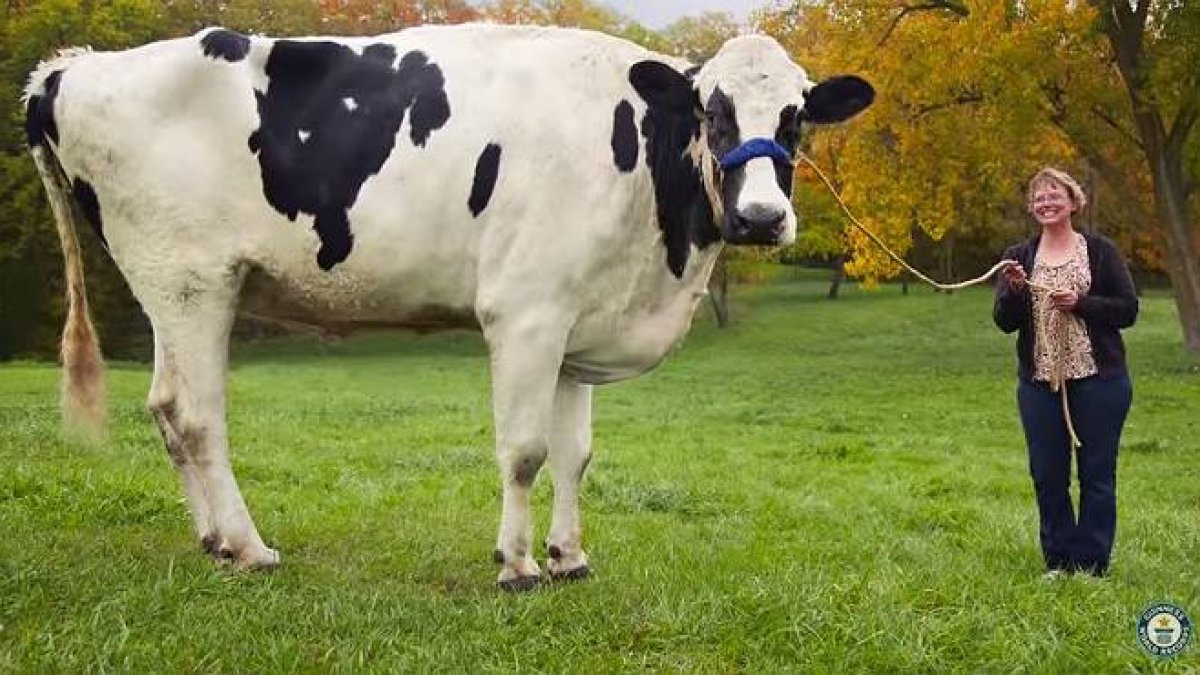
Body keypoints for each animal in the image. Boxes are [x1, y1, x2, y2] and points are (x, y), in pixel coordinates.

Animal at [25, 23, 873, 589]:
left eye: (797, 115)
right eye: (710, 109)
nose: (760, 218)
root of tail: (73, 67)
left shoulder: (577, 321)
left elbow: (575, 453)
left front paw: (570, 556)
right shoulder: (525, 312)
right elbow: (525, 449)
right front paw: (517, 565)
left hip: (174, 290)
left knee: (167, 408)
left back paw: (211, 539)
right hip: (191, 278)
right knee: (198, 415)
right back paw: (248, 545)